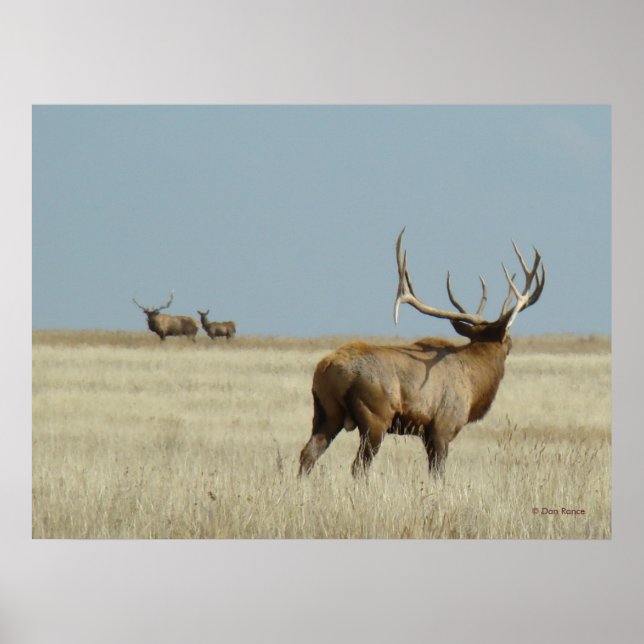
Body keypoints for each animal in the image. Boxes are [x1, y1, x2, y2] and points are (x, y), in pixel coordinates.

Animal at [298, 228, 545, 477]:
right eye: (509, 341)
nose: (511, 343)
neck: (475, 381)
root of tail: (327, 368)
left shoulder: (427, 433)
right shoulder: (442, 426)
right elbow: (438, 472)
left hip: (326, 411)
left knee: (308, 453)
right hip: (375, 417)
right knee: (358, 465)